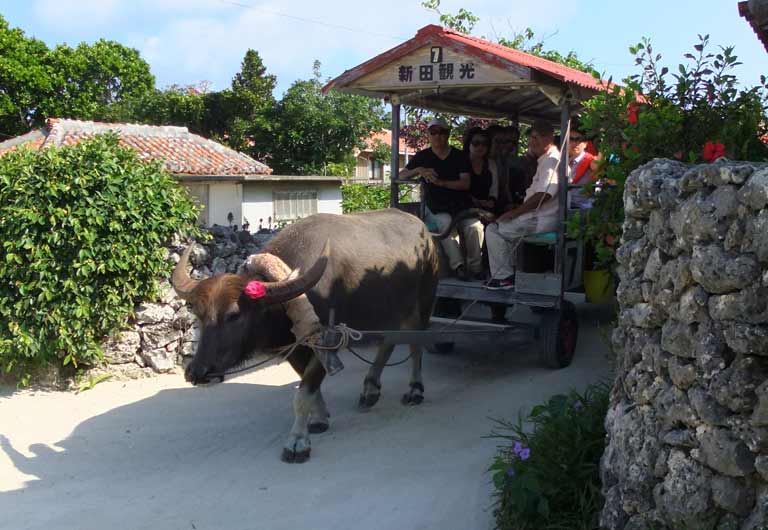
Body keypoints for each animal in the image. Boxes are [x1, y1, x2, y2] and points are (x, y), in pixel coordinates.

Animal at [172, 207, 440, 462]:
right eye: (198, 313)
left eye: (234, 315)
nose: (197, 372)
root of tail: (425, 233)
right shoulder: (294, 347)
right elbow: (308, 384)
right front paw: (319, 418)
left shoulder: (327, 343)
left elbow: (303, 392)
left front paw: (297, 442)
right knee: (390, 342)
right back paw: (370, 389)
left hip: (424, 304)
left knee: (416, 346)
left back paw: (415, 389)